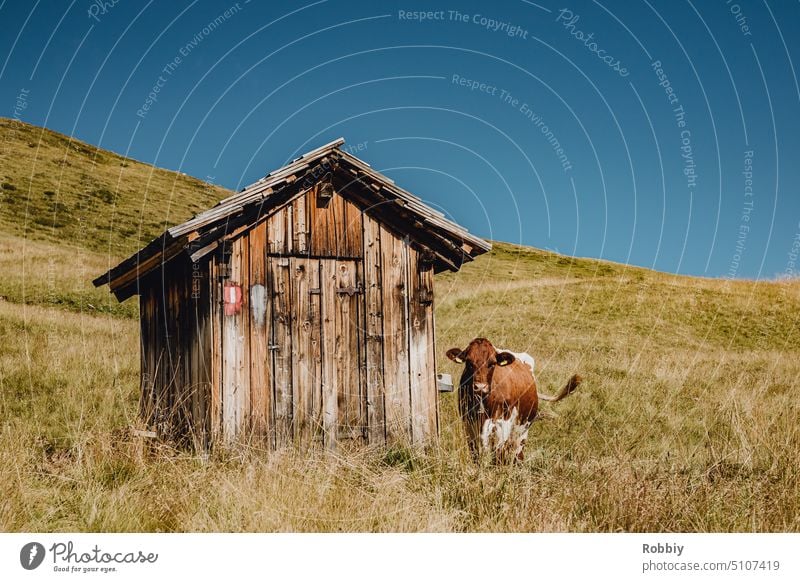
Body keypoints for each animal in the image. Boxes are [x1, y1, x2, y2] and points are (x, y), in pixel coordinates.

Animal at [444, 338, 580, 466]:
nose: (480, 387)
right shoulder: (469, 425)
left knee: (517, 451)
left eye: (492, 364)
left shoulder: (503, 424)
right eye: (469, 363)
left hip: (523, 429)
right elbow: (475, 453)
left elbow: (498, 454)